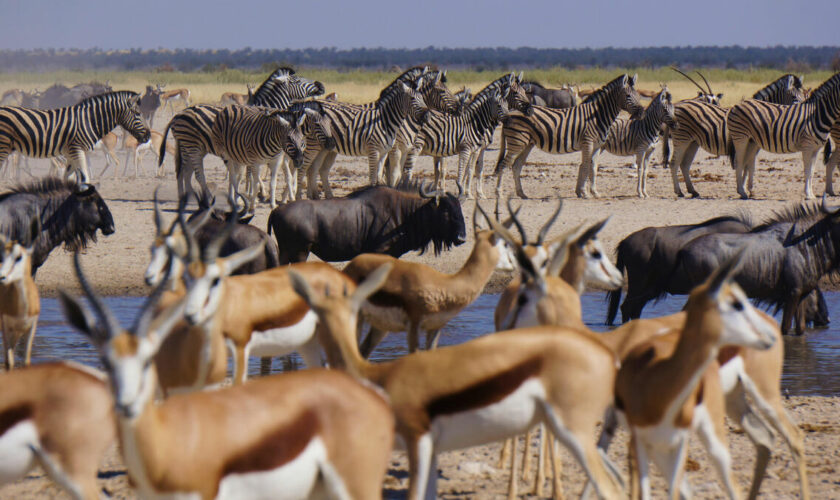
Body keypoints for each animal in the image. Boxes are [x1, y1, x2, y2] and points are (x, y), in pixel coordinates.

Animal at [0, 91, 148, 183]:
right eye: (137, 113)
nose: (148, 136)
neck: (88, 121)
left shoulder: (70, 154)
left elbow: (70, 180)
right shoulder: (77, 150)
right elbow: (85, 179)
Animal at [158, 67, 324, 204]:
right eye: (298, 80)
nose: (321, 85)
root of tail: (178, 114)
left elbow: (285, 174)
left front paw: (284, 196)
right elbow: (250, 173)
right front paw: (254, 194)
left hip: (189, 147)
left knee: (183, 171)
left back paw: (186, 196)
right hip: (193, 146)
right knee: (196, 173)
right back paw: (206, 197)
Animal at [492, 74, 644, 199]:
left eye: (638, 95)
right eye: (628, 96)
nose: (642, 112)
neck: (597, 115)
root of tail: (510, 113)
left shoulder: (597, 146)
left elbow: (593, 167)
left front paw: (593, 192)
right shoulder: (587, 142)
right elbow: (586, 165)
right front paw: (584, 192)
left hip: (527, 143)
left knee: (516, 166)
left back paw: (522, 194)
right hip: (517, 142)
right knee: (504, 165)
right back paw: (499, 193)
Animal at [664, 73, 808, 197]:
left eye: (804, 96)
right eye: (795, 97)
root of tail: (676, 105)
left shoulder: (752, 144)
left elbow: (748, 165)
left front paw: (745, 189)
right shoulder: (752, 143)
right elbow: (747, 165)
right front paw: (745, 189)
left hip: (692, 142)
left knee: (684, 165)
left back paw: (692, 191)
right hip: (681, 139)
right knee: (674, 163)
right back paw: (679, 192)